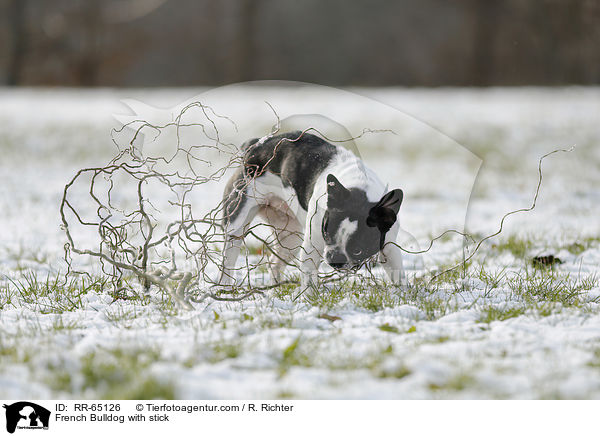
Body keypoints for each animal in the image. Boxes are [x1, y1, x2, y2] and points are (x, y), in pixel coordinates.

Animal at [218, 129, 406, 292]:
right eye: (327, 234)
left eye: (358, 249)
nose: (334, 259)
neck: (358, 190)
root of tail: (254, 146)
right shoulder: (312, 245)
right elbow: (309, 277)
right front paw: (310, 297)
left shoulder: (389, 246)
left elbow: (398, 273)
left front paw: (402, 294)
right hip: (237, 220)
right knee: (229, 259)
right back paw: (225, 288)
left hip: (291, 237)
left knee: (274, 263)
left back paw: (276, 286)